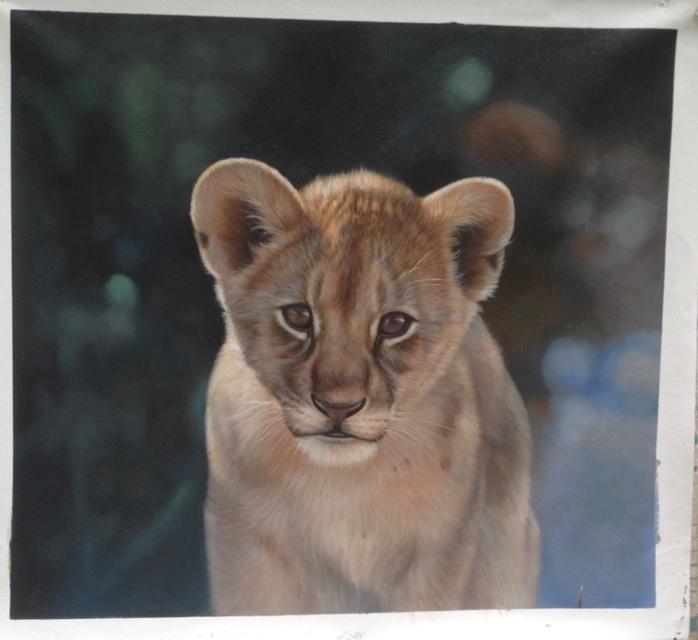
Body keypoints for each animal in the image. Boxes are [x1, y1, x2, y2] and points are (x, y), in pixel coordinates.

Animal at [190, 158, 539, 615]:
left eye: (395, 324)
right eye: (299, 316)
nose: (338, 407)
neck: (344, 483)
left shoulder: (440, 553)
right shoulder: (244, 540)